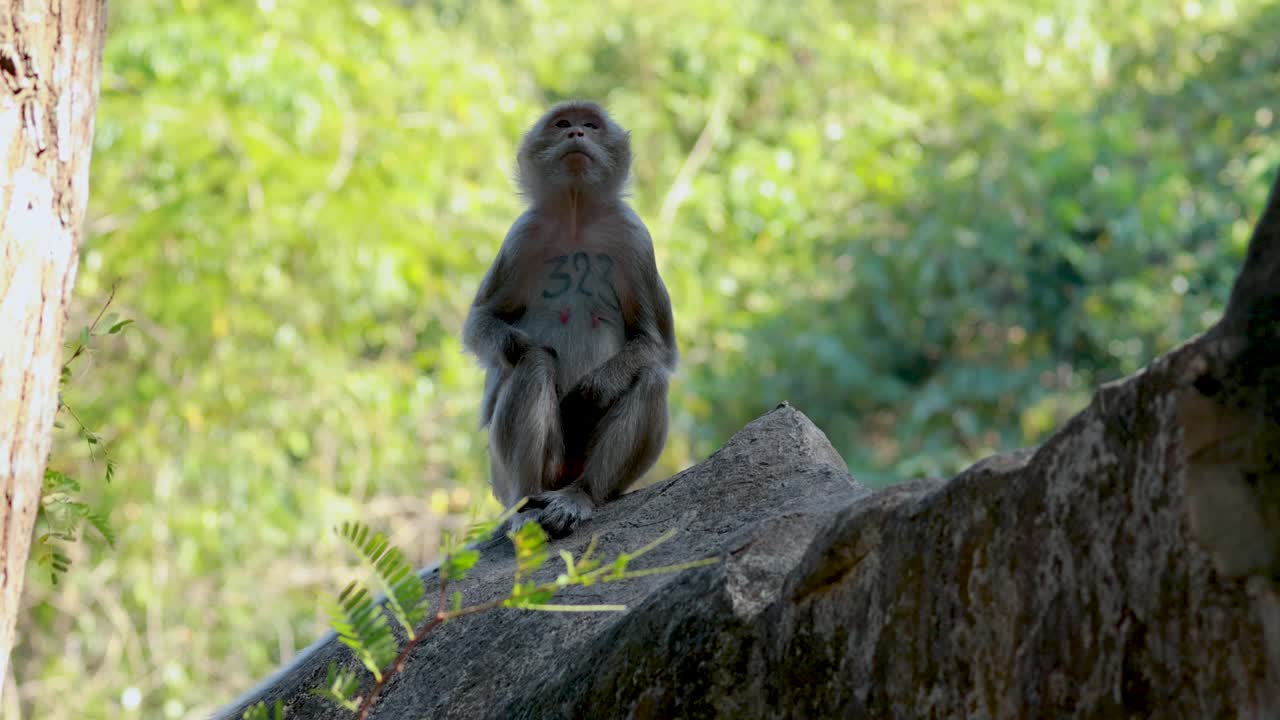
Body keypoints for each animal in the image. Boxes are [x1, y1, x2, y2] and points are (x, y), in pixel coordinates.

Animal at [462, 100, 678, 539]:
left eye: (591, 126)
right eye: (562, 124)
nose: (576, 134)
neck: (577, 215)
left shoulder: (635, 239)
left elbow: (656, 344)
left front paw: (596, 389)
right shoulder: (520, 237)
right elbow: (482, 321)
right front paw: (519, 345)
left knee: (650, 378)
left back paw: (582, 495)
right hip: (513, 474)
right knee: (533, 366)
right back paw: (526, 503)